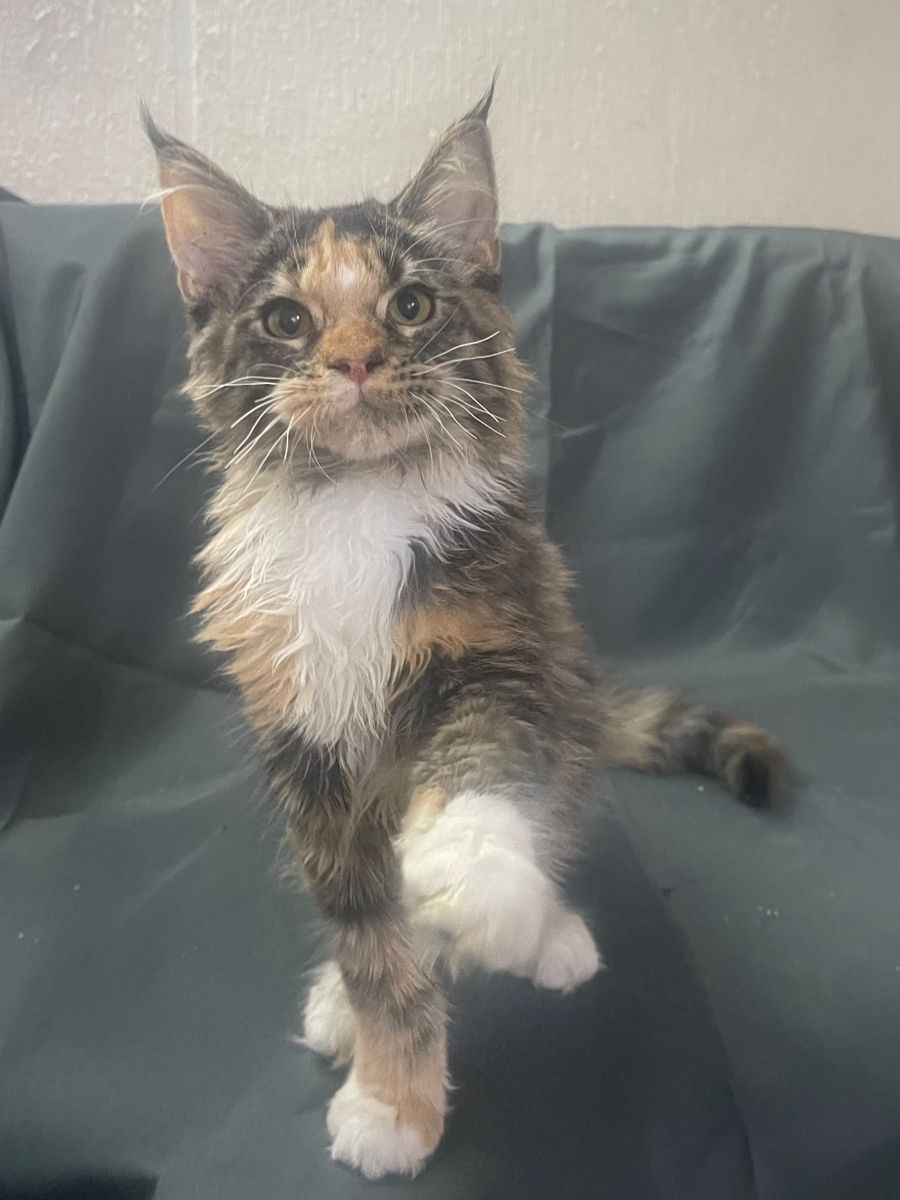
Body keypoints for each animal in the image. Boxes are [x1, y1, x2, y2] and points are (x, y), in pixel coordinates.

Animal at [144, 85, 791, 1179]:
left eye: (410, 306)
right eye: (287, 320)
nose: (355, 359)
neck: (356, 508)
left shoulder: (499, 652)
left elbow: (485, 783)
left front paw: (482, 888)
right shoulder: (306, 738)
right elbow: (373, 944)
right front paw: (393, 1093)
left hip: (563, 686)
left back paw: (545, 932)